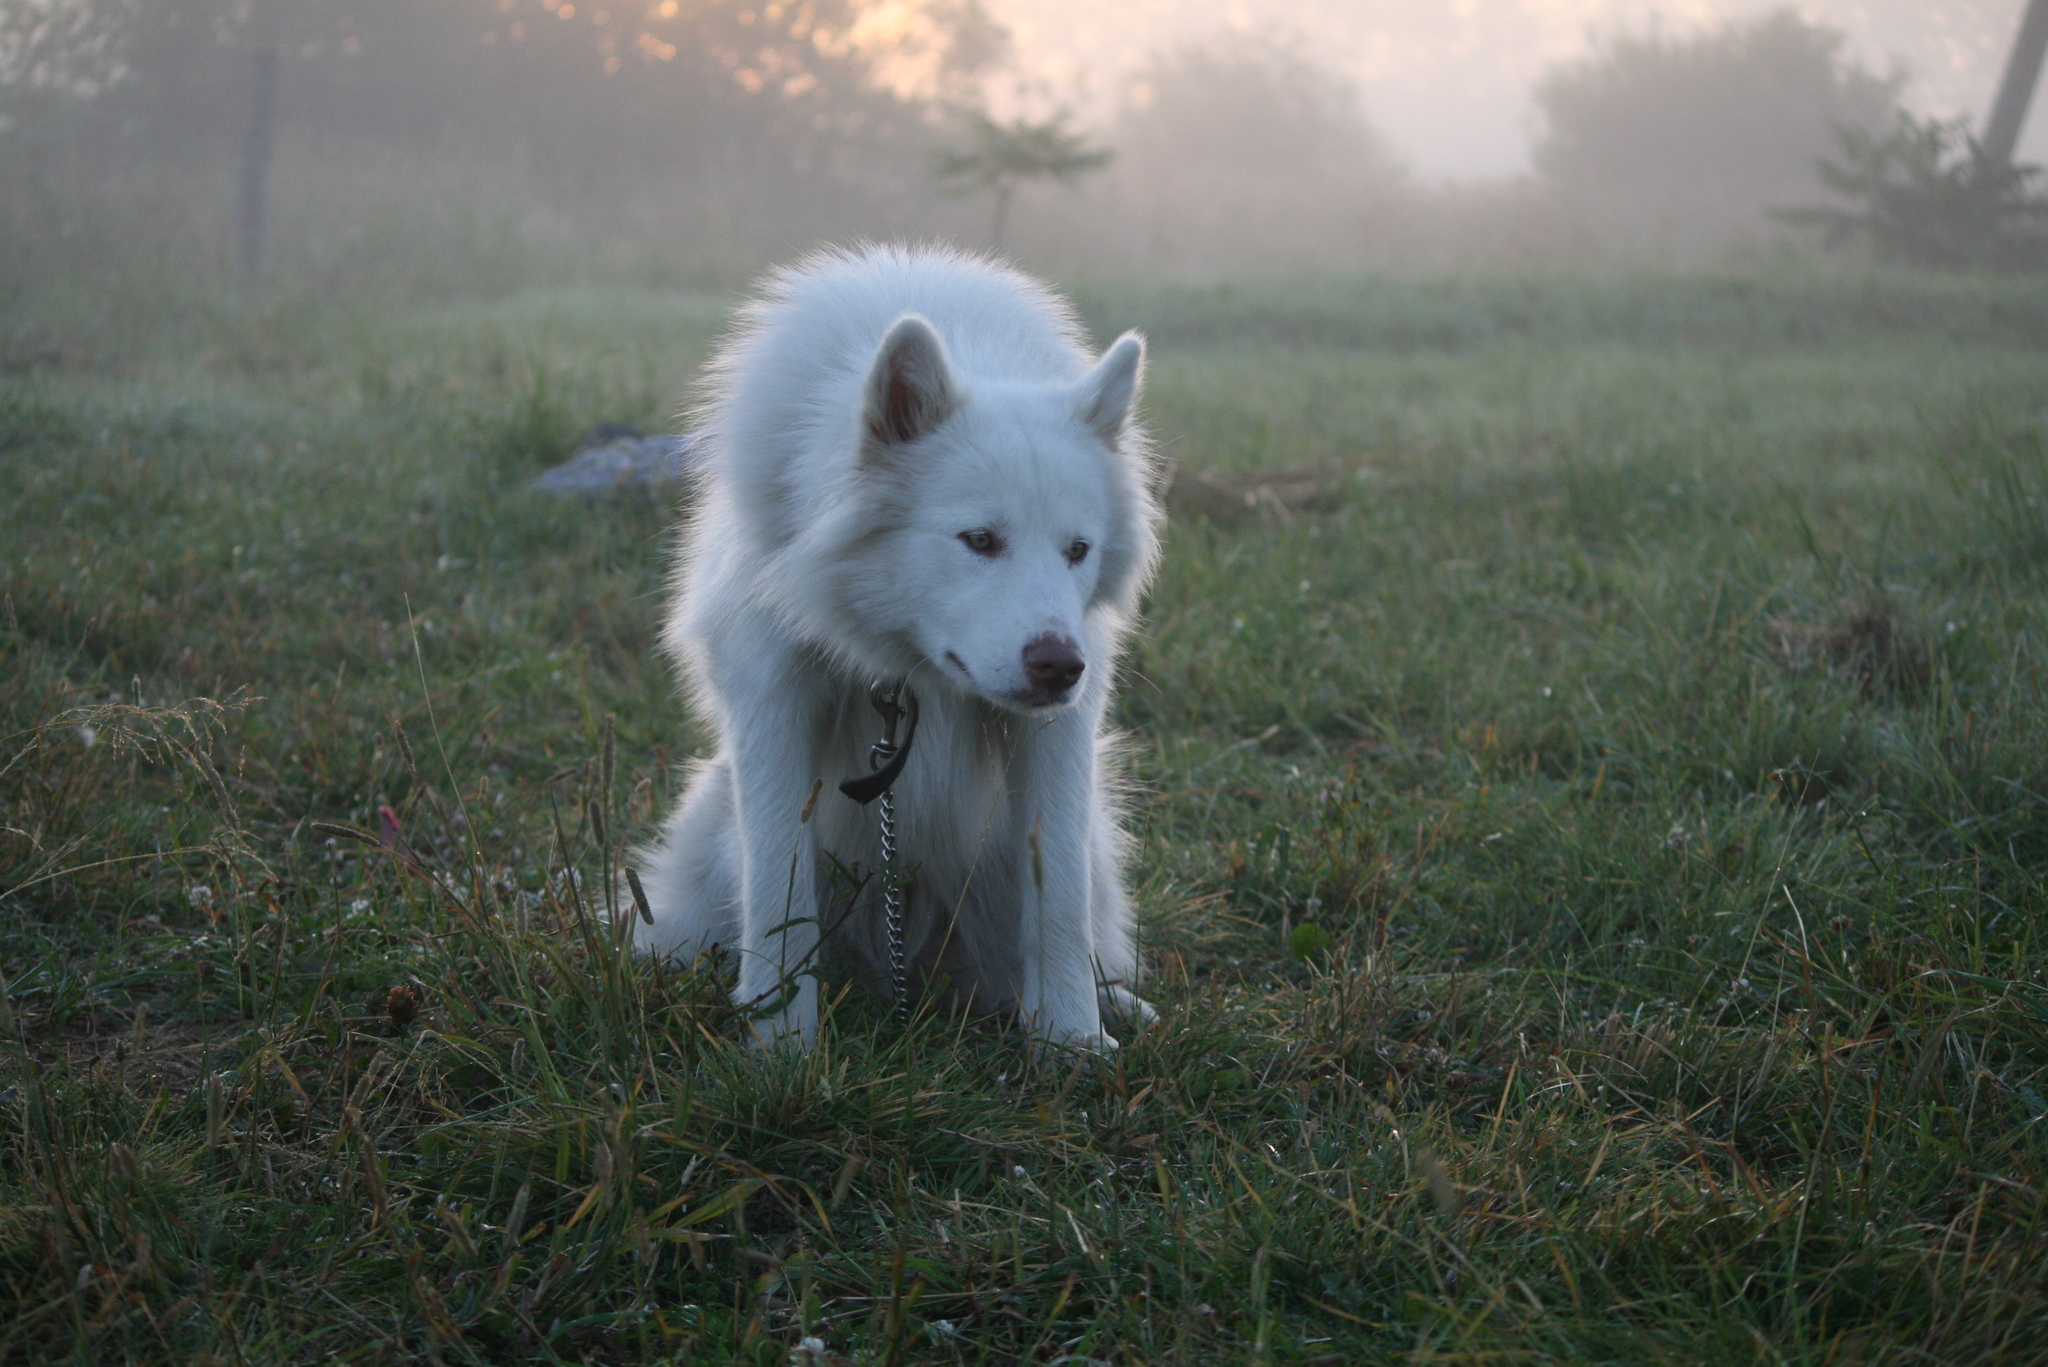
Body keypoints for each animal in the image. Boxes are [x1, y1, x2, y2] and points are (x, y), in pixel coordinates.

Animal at [630, 242, 1163, 1049]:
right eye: (979, 540)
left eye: (1078, 550)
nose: (1061, 668)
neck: (904, 665)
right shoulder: (776, 704)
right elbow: (781, 894)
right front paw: (782, 1049)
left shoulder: (1057, 735)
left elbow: (1060, 893)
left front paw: (1071, 1041)